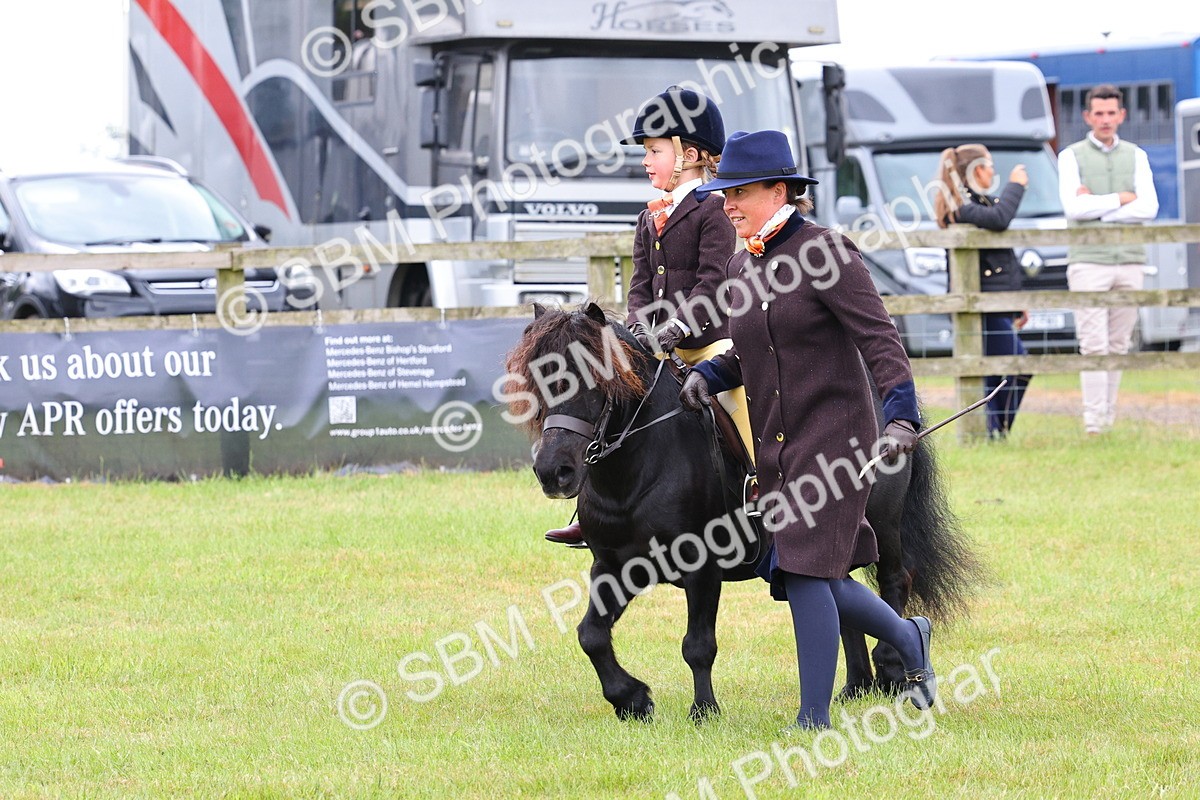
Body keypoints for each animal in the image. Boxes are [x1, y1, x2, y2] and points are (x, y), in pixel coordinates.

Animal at [505, 302, 983, 721]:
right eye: (536, 380)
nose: (554, 472)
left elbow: (698, 645)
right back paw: (856, 685)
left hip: (882, 524)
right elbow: (591, 636)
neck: (637, 466)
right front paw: (632, 700)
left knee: (894, 580)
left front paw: (703, 711)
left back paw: (893, 668)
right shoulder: (612, 566)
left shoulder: (700, 569)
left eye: (595, 378)